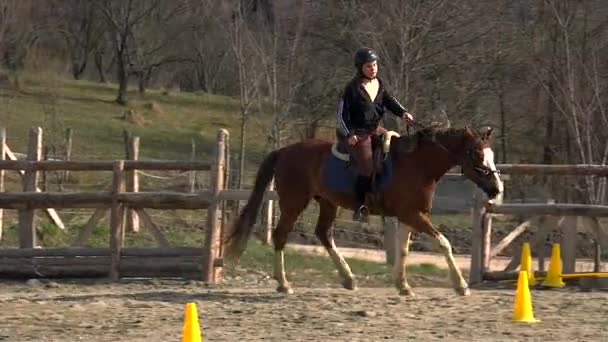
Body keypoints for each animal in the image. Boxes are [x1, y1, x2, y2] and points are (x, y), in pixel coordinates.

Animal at [223, 124, 504, 296]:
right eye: (477, 154)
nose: (496, 189)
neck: (416, 164)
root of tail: (285, 150)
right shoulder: (413, 215)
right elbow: (444, 243)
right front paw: (461, 285)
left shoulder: (410, 216)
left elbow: (403, 250)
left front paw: (403, 285)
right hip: (294, 203)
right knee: (281, 235)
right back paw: (284, 283)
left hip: (327, 203)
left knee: (324, 234)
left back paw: (347, 278)